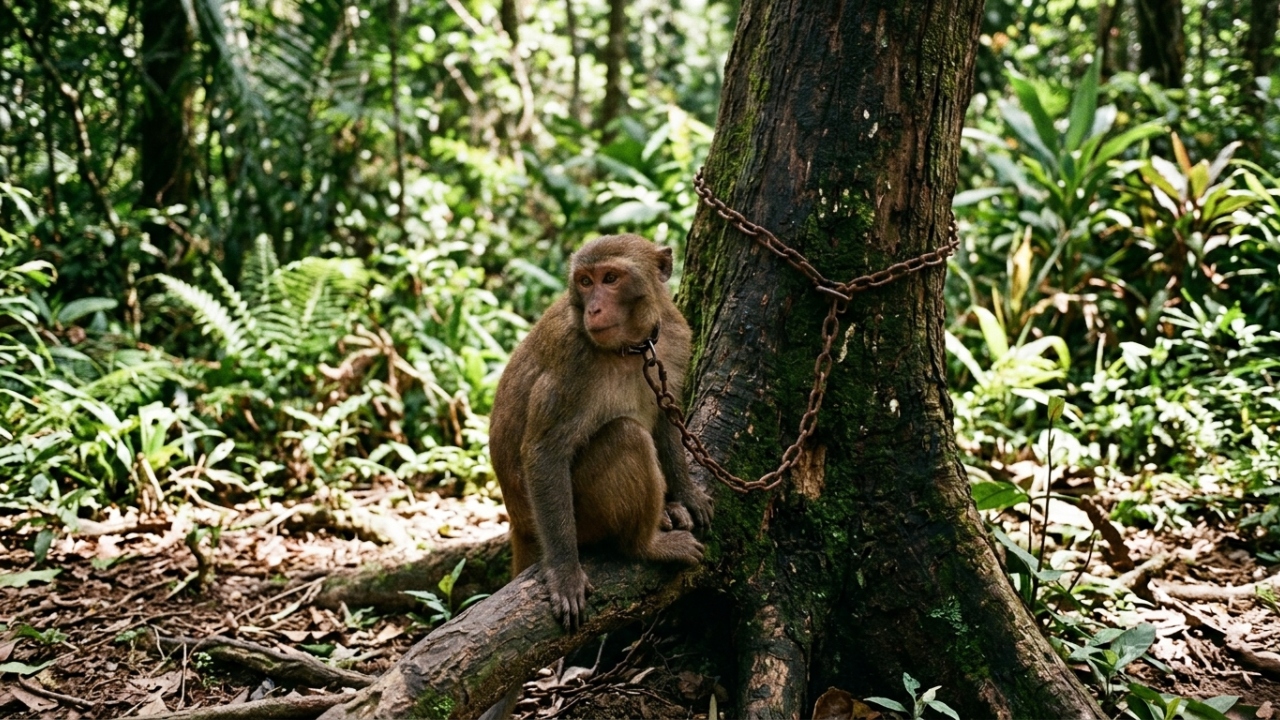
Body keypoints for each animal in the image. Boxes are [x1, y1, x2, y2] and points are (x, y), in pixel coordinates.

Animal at [489, 233, 713, 630]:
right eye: (585, 281)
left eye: (610, 278)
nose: (593, 310)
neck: (631, 348)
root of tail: (519, 523)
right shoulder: (571, 361)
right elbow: (545, 453)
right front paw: (565, 572)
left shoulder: (673, 335)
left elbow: (666, 419)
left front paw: (687, 493)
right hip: (583, 519)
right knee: (627, 436)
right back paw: (646, 545)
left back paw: (668, 509)